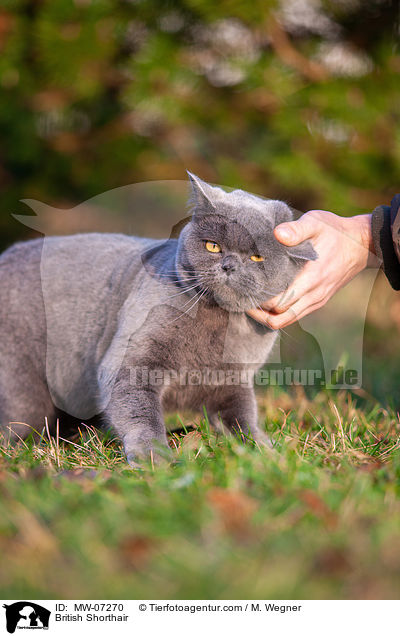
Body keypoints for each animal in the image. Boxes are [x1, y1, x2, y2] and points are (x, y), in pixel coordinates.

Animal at [1, 173, 318, 462]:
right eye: (213, 246)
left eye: (256, 258)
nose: (228, 266)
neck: (217, 326)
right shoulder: (132, 362)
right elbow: (141, 411)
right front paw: (154, 457)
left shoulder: (234, 380)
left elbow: (244, 418)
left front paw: (265, 451)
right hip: (22, 387)